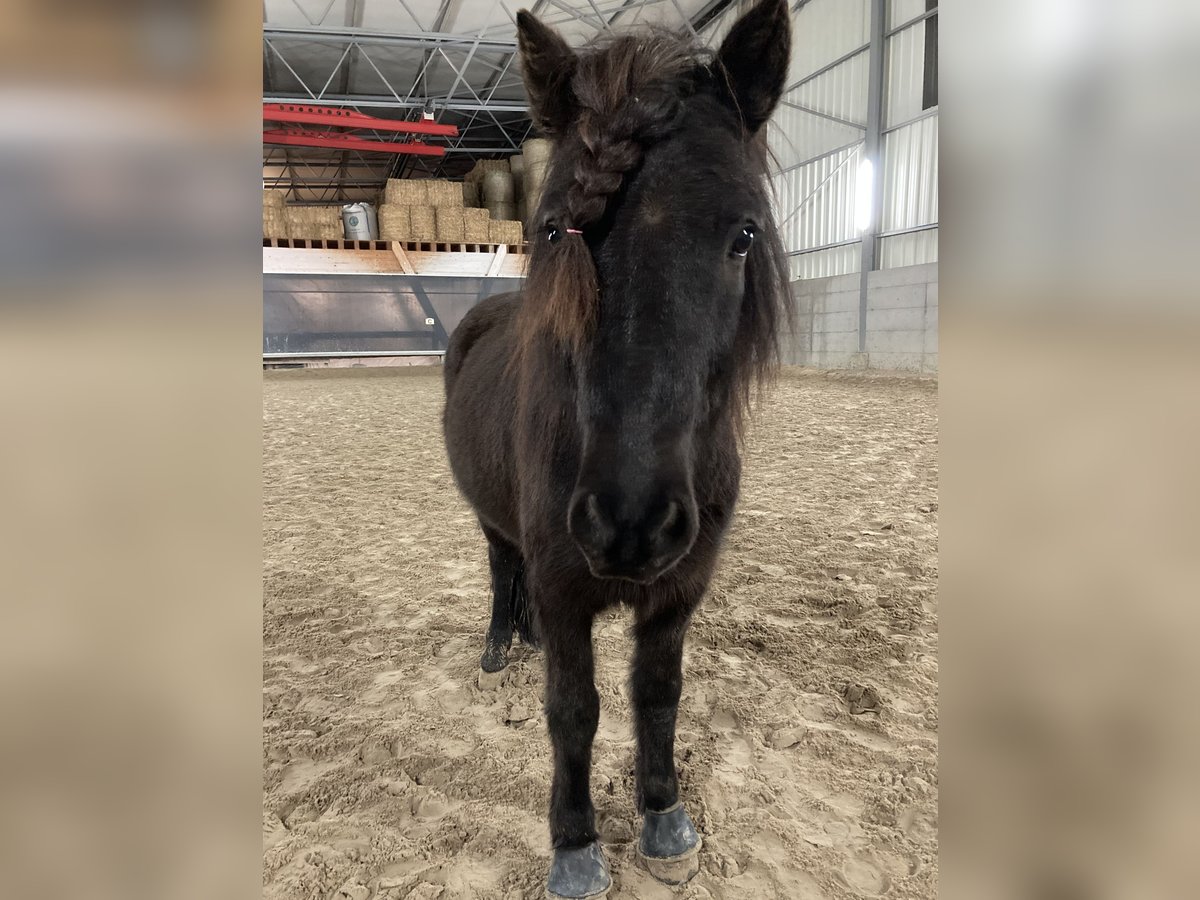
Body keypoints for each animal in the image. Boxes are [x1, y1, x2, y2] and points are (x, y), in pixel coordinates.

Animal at [441, 3, 787, 897]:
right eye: (552, 229)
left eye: (744, 234)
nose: (631, 523)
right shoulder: (566, 588)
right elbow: (574, 710)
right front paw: (575, 845)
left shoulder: (678, 592)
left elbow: (656, 695)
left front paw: (663, 817)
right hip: (492, 522)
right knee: (503, 567)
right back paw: (501, 646)